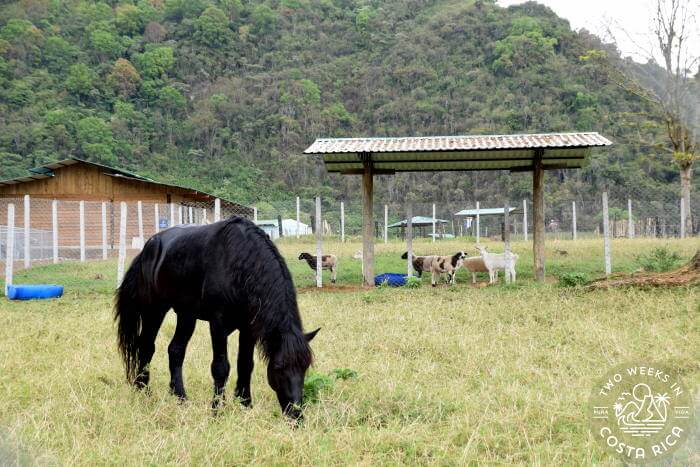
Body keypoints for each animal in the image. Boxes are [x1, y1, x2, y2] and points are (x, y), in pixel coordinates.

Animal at [115, 218, 320, 420]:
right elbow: (221, 367)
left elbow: (245, 365)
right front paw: (217, 411)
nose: (296, 415)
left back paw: (180, 397)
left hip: (186, 315)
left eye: (305, 367)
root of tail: (148, 248)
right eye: (278, 367)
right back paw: (144, 392)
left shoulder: (249, 328)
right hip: (154, 310)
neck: (240, 263)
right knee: (146, 347)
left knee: (175, 350)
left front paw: (246, 405)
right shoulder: (218, 324)